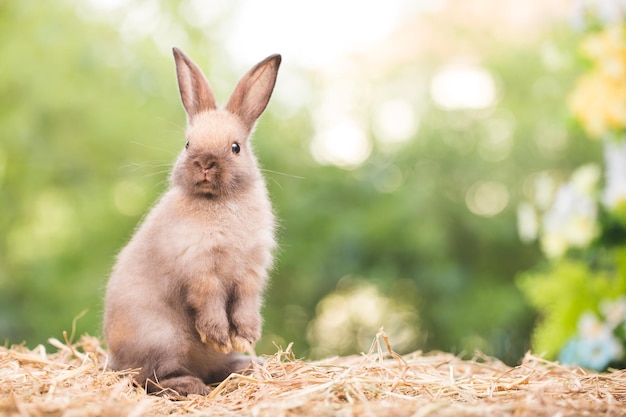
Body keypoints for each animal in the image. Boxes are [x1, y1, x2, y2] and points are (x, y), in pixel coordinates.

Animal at [103, 47, 280, 394]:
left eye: (236, 147)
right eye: (187, 144)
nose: (205, 163)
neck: (219, 201)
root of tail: (118, 361)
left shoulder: (251, 271)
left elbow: (245, 304)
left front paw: (244, 337)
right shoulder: (200, 269)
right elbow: (209, 303)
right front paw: (220, 336)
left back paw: (248, 365)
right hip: (163, 340)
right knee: (152, 377)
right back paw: (190, 386)